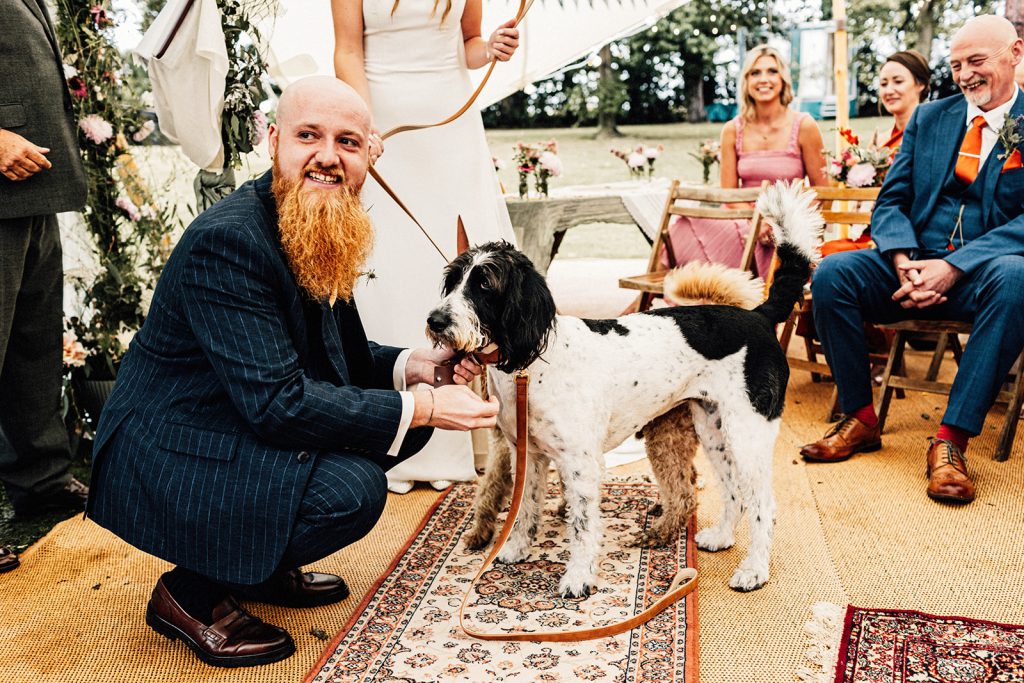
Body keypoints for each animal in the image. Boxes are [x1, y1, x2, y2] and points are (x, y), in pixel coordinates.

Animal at [425, 181, 823, 598]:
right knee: (734, 491)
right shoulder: (529, 456)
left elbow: (582, 526)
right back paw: (722, 537)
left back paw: (755, 570)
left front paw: (578, 578)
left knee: (764, 504)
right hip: (715, 430)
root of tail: (759, 315)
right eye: (453, 280)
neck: (529, 367)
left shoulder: (580, 463)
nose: (434, 321)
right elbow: (525, 509)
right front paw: (517, 549)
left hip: (747, 434)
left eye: (484, 284)